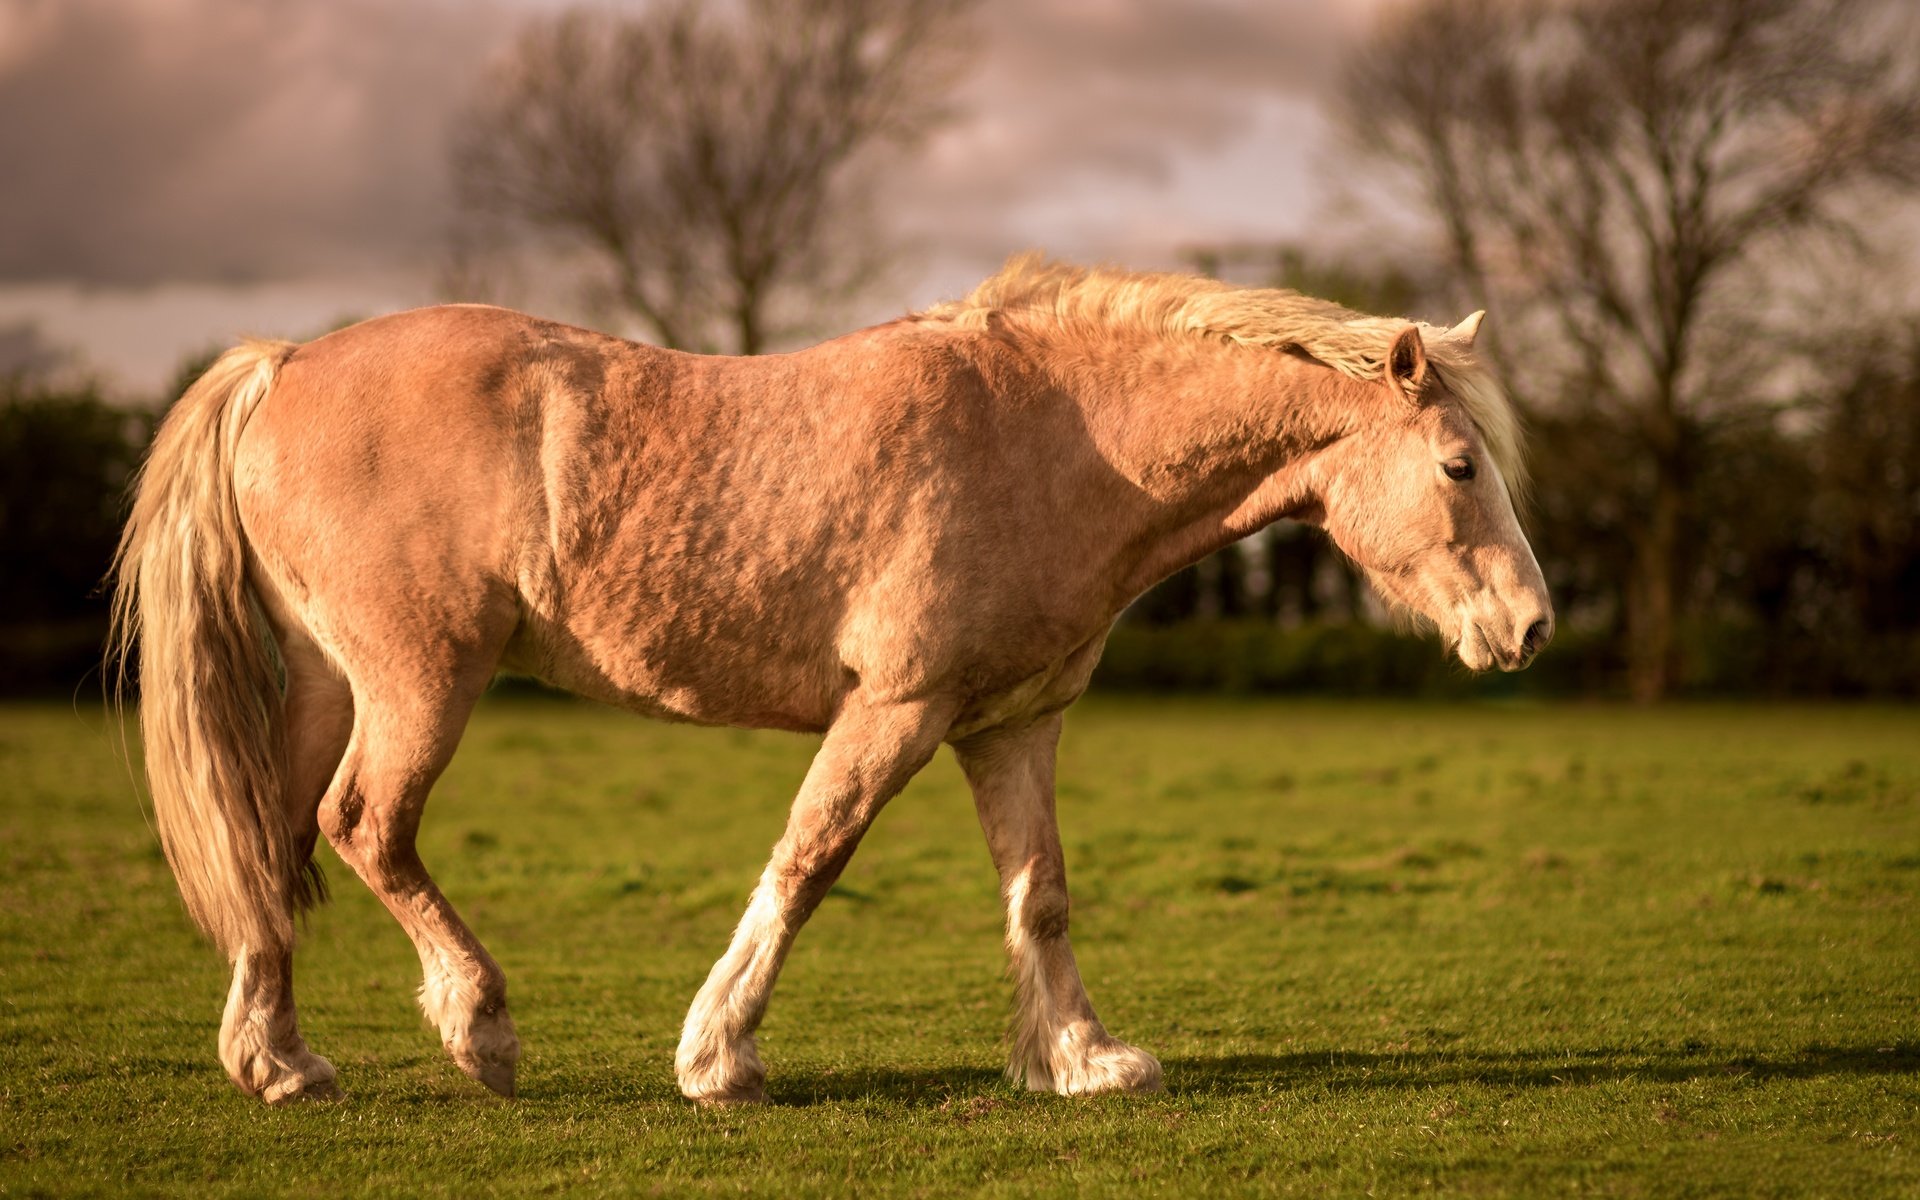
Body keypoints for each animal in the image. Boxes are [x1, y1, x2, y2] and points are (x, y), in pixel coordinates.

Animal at [105, 255, 1551, 1105]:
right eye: (1460, 466)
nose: (1532, 628)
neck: (1053, 435)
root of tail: (284, 366)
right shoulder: (895, 711)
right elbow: (808, 861)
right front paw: (718, 1056)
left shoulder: (1010, 726)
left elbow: (1041, 896)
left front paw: (1083, 1061)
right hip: (421, 683)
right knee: (364, 828)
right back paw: (482, 1028)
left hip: (333, 684)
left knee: (273, 840)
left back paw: (279, 1061)